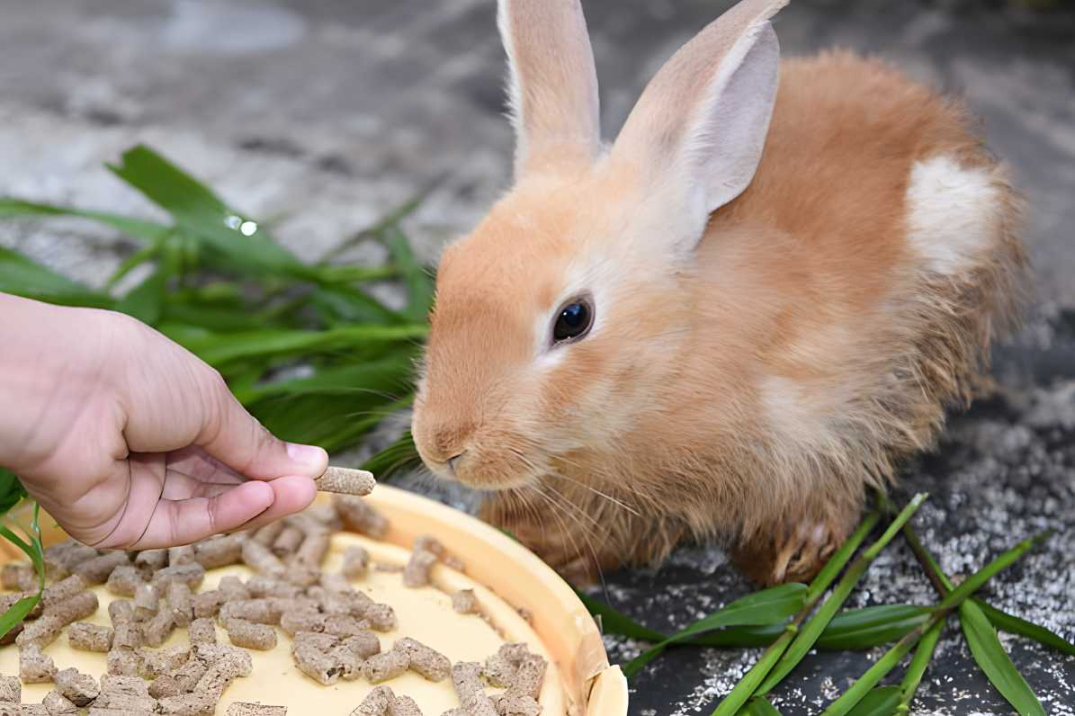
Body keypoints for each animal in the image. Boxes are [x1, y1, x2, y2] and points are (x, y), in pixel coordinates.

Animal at [408, 0, 1023, 584]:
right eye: (449, 268)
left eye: (573, 318)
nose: (443, 447)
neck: (675, 354)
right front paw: (535, 539)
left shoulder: (828, 423)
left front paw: (788, 558)